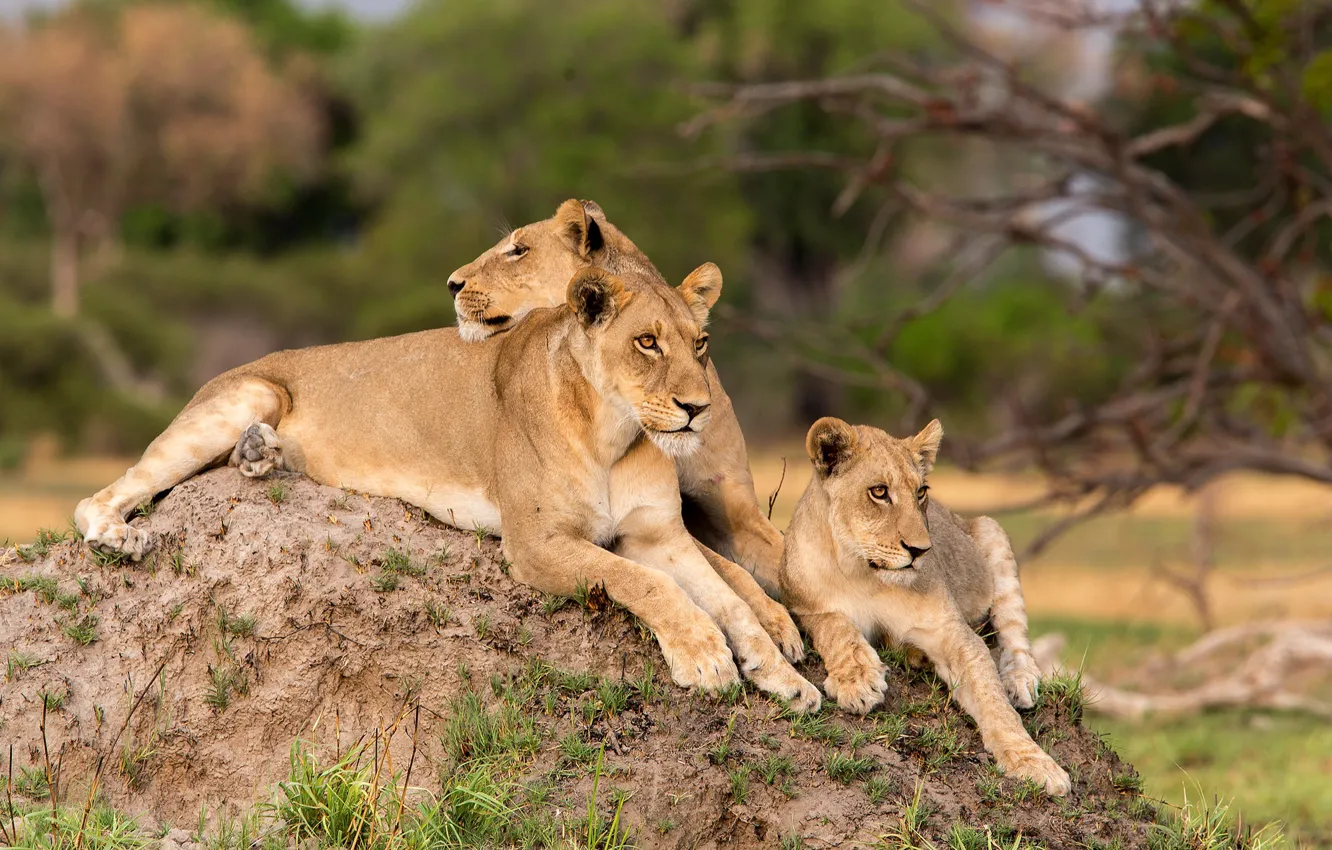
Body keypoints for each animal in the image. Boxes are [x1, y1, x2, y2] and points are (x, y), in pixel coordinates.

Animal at [74, 264, 820, 709]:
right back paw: (120, 537)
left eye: (700, 344)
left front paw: (784, 679)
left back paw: (263, 454)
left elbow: (730, 601)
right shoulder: (536, 543)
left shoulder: (659, 534)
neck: (615, 431)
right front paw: (705, 660)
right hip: (245, 394)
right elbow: (651, 586)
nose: (698, 408)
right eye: (646, 342)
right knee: (99, 497)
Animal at [779, 417, 1071, 795]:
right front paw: (858, 679)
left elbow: (991, 698)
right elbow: (835, 624)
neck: (862, 572)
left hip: (990, 530)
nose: (920, 550)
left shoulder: (948, 630)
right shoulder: (801, 605)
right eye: (879, 492)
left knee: (1014, 634)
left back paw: (1019, 680)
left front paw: (1034, 762)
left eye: (920, 492)